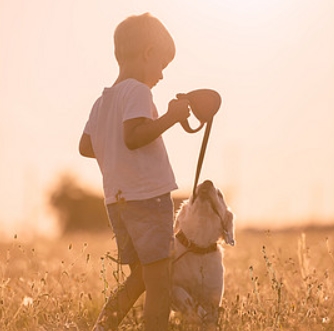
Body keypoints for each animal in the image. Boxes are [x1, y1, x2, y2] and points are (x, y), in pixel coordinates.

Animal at [172, 180, 235, 330]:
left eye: (220, 194)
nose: (207, 181)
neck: (198, 246)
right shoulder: (170, 285)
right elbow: (181, 293)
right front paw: (195, 313)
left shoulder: (213, 297)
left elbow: (210, 316)